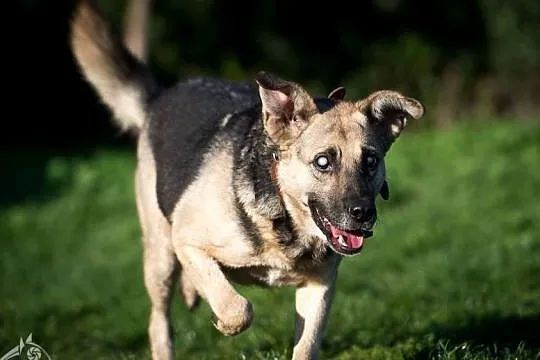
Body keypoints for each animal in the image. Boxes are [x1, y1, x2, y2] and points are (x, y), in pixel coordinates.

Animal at [68, 1, 422, 358]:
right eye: (323, 162)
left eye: (371, 161)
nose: (363, 214)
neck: (283, 218)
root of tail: (159, 98)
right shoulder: (187, 241)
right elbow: (238, 309)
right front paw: (223, 321)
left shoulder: (319, 287)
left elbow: (306, 346)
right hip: (160, 255)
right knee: (160, 321)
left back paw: (192, 291)